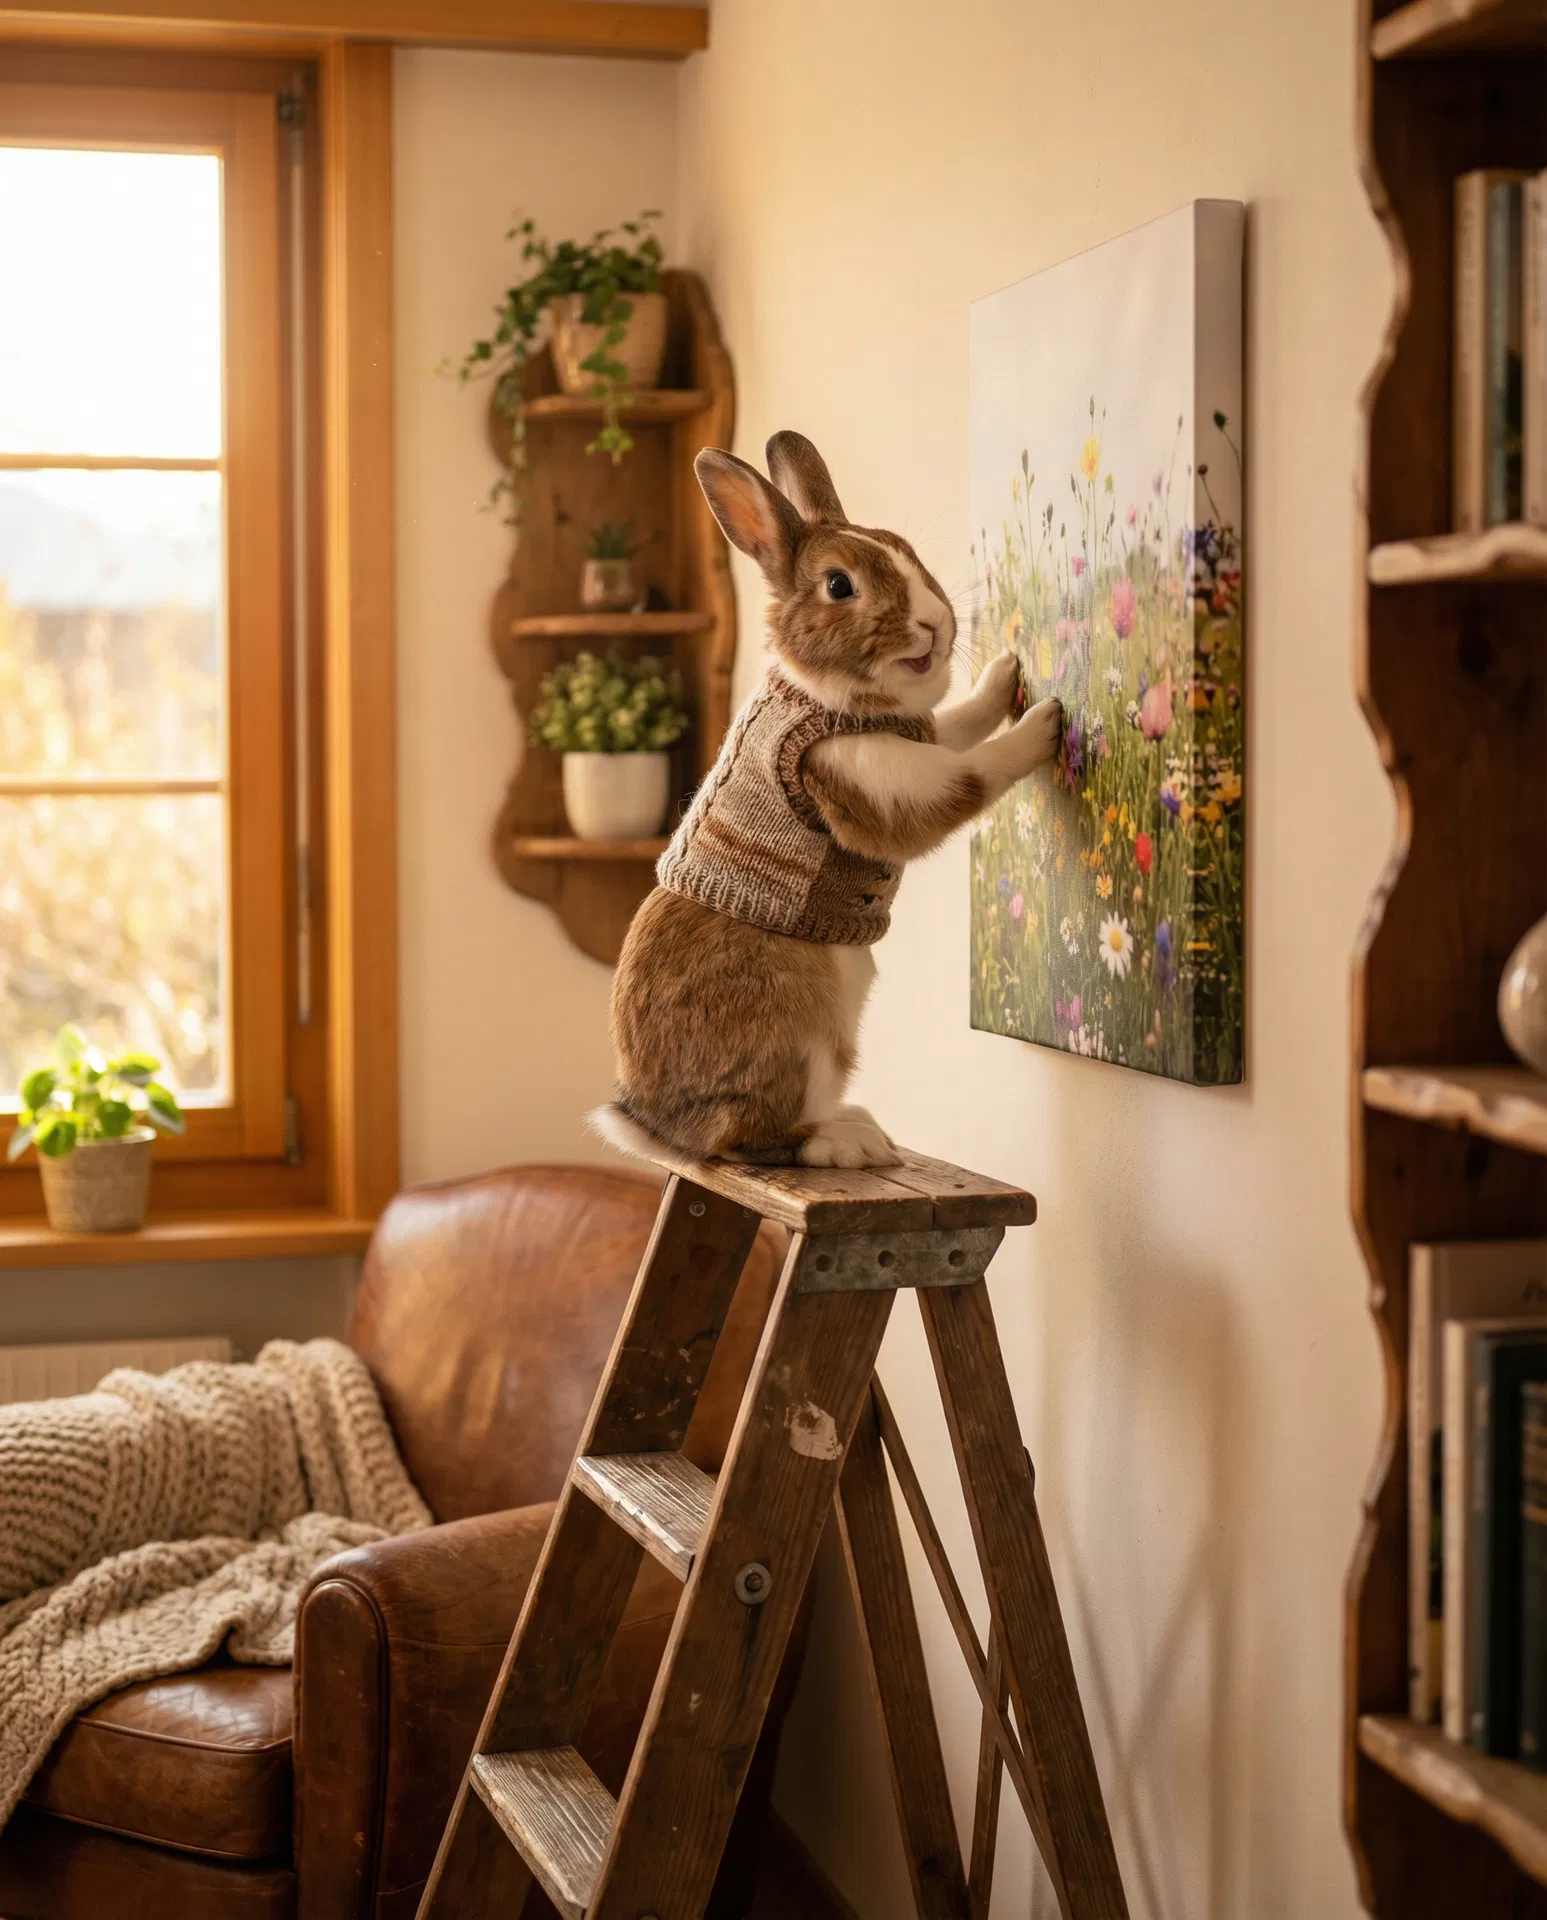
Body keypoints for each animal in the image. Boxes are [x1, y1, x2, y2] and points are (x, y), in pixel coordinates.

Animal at [591, 430, 1062, 1170]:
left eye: (904, 548)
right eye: (840, 586)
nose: (935, 624)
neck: (825, 695)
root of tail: (660, 1131)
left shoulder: (917, 735)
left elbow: (960, 723)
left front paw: (1001, 677)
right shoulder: (870, 773)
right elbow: (971, 775)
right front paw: (1043, 723)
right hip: (798, 1036)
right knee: (749, 1140)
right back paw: (851, 1142)